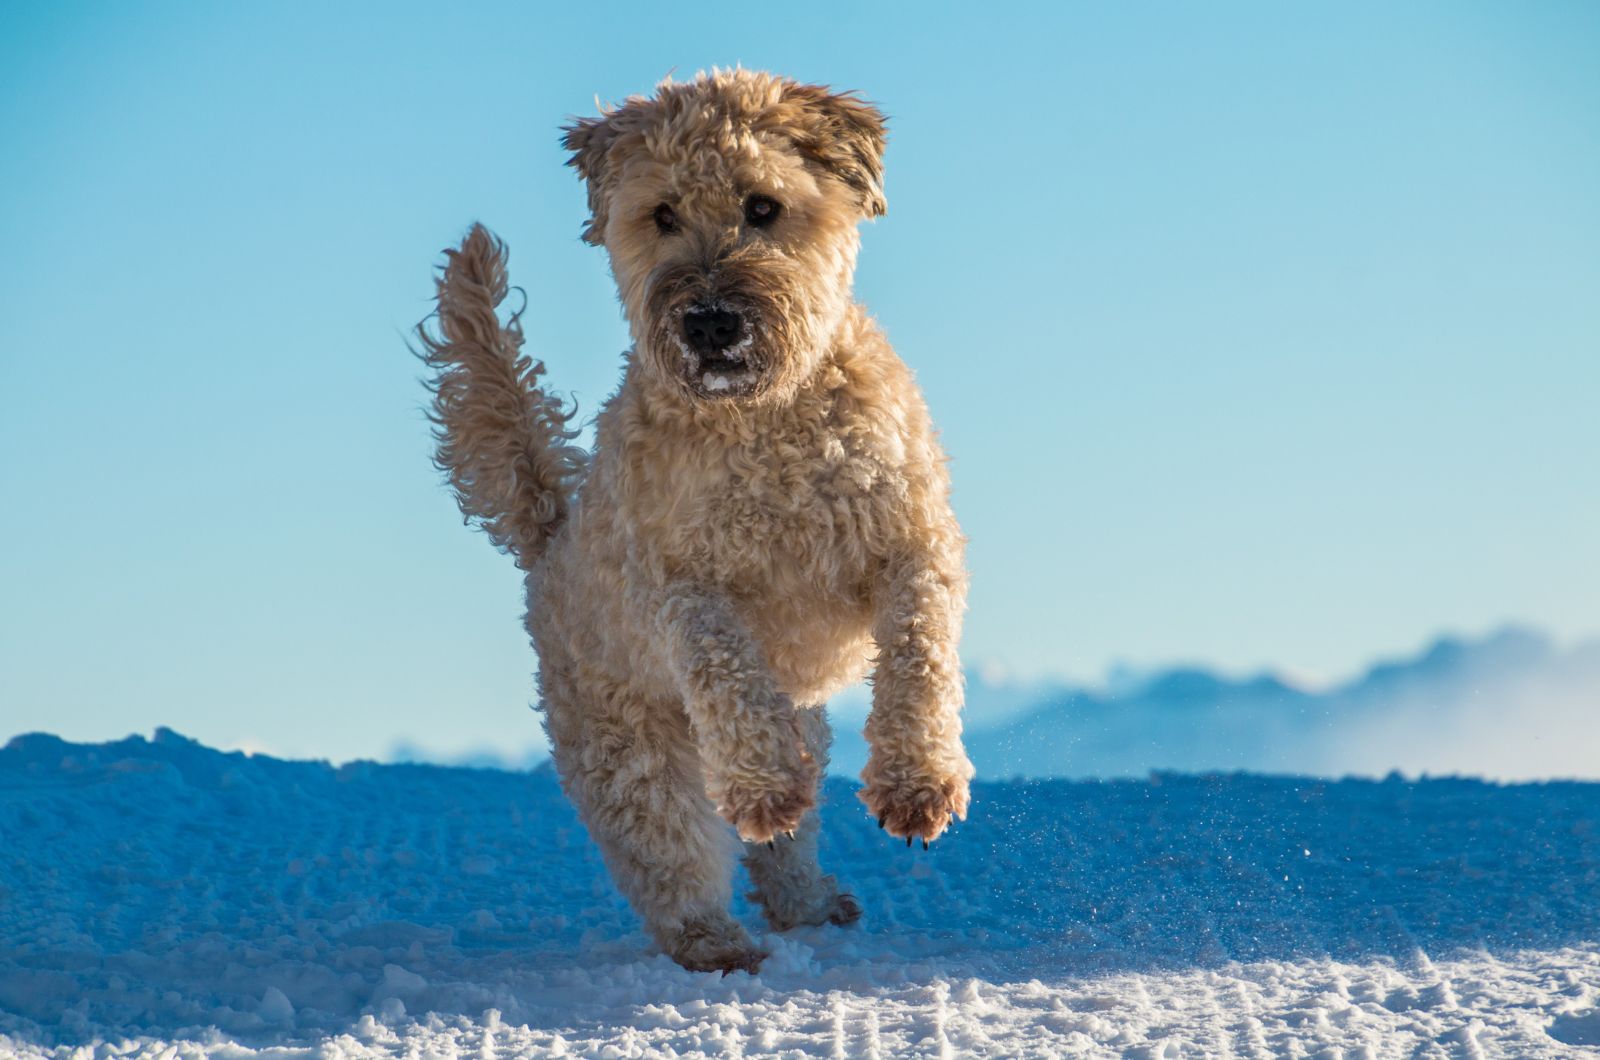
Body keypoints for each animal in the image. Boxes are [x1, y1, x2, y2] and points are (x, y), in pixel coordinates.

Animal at [419, 70, 966, 973]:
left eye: (763, 205)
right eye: (662, 213)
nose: (710, 322)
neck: (766, 421)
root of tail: (550, 540)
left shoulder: (913, 544)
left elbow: (920, 655)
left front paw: (917, 784)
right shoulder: (680, 584)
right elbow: (725, 666)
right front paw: (762, 787)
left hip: (794, 717)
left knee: (786, 842)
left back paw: (808, 898)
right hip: (626, 742)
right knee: (669, 845)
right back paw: (717, 936)